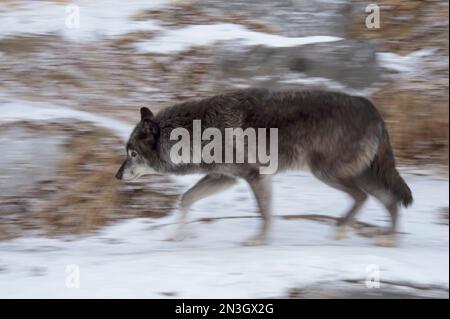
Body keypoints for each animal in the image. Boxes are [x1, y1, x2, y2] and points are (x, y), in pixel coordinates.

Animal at [115, 89, 412, 246]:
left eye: (132, 153)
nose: (117, 176)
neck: (195, 133)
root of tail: (374, 110)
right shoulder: (224, 178)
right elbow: (186, 199)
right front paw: (177, 235)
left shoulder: (254, 176)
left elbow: (264, 213)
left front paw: (259, 241)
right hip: (360, 175)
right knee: (391, 201)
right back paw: (389, 240)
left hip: (327, 173)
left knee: (364, 198)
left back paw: (341, 231)